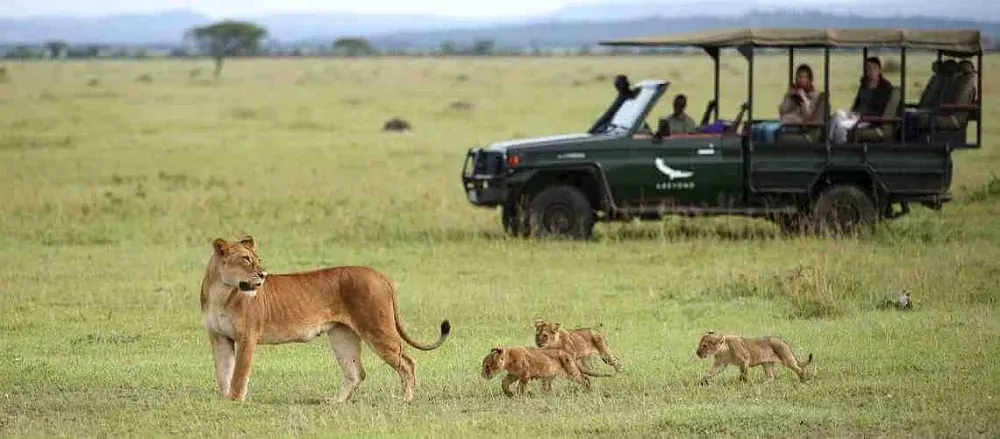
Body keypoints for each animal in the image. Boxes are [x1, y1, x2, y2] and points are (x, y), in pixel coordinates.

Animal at [200, 234, 451, 403]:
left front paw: (234, 400)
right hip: (342, 335)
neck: (221, 292)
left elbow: (239, 373)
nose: (263, 274)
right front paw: (224, 400)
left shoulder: (247, 337)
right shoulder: (219, 338)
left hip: (376, 329)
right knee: (356, 372)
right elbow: (223, 371)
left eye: (257, 259)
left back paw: (406, 399)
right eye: (245, 259)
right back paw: (335, 403)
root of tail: (379, 274)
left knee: (407, 362)